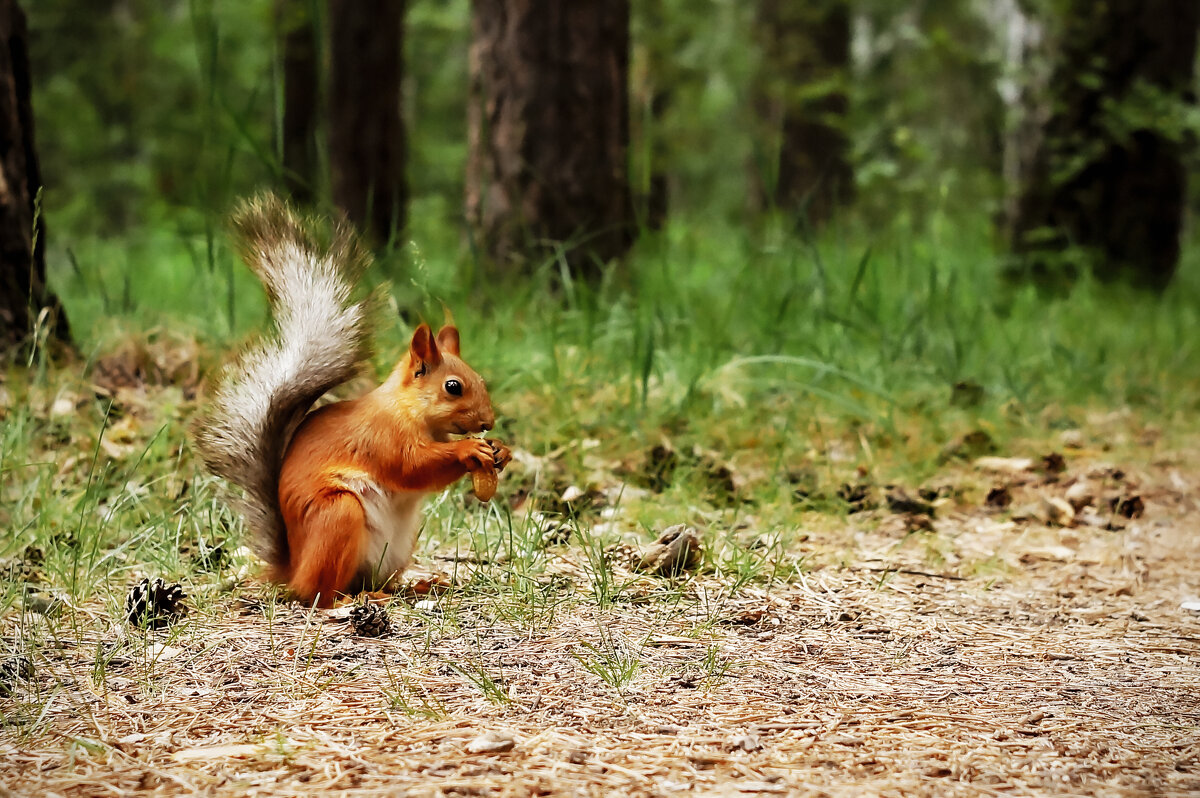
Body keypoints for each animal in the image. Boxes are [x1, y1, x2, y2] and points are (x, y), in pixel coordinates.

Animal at [190, 195, 506, 607]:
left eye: (480, 380)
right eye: (453, 387)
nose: (488, 422)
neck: (410, 411)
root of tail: (293, 568)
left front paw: (501, 451)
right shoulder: (382, 436)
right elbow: (413, 467)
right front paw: (469, 450)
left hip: (397, 546)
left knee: (374, 579)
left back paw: (414, 586)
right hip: (338, 516)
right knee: (319, 592)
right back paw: (351, 600)